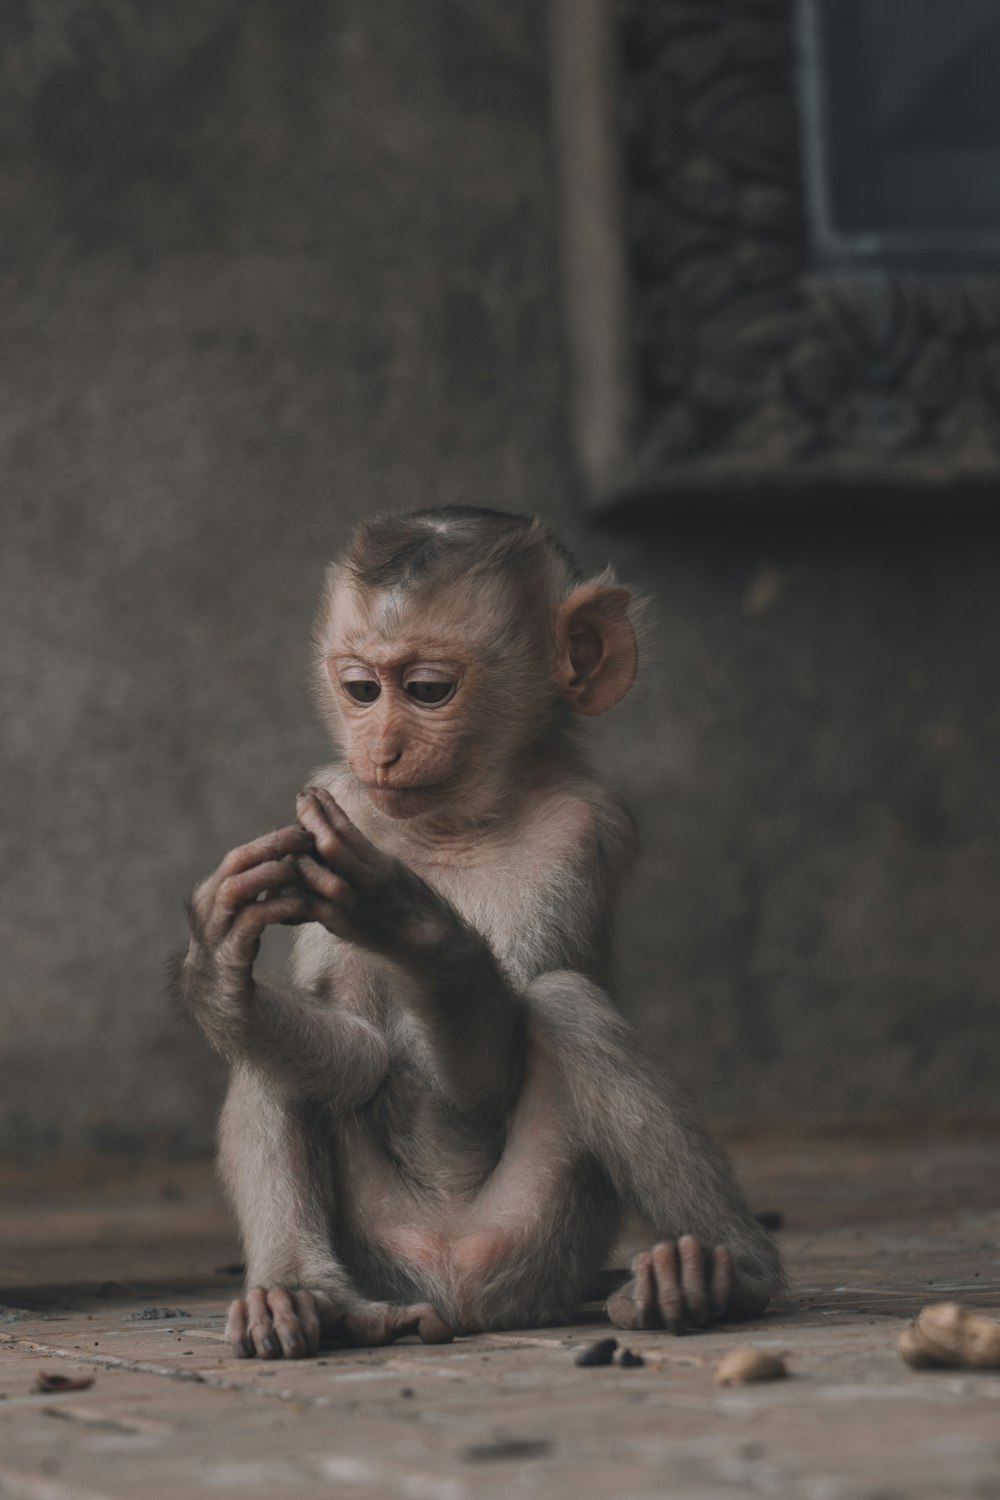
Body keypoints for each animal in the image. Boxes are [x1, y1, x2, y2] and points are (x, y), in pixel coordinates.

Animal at [176, 507, 785, 1362]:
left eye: (428, 690)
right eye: (360, 690)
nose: (381, 749)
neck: (454, 825)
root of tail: (453, 1288)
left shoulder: (582, 828)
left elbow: (487, 1077)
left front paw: (411, 923)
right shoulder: (337, 796)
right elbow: (357, 1049)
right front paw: (218, 970)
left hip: (543, 1237)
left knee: (565, 1004)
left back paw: (725, 1273)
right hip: (379, 1243)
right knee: (273, 1059)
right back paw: (310, 1296)